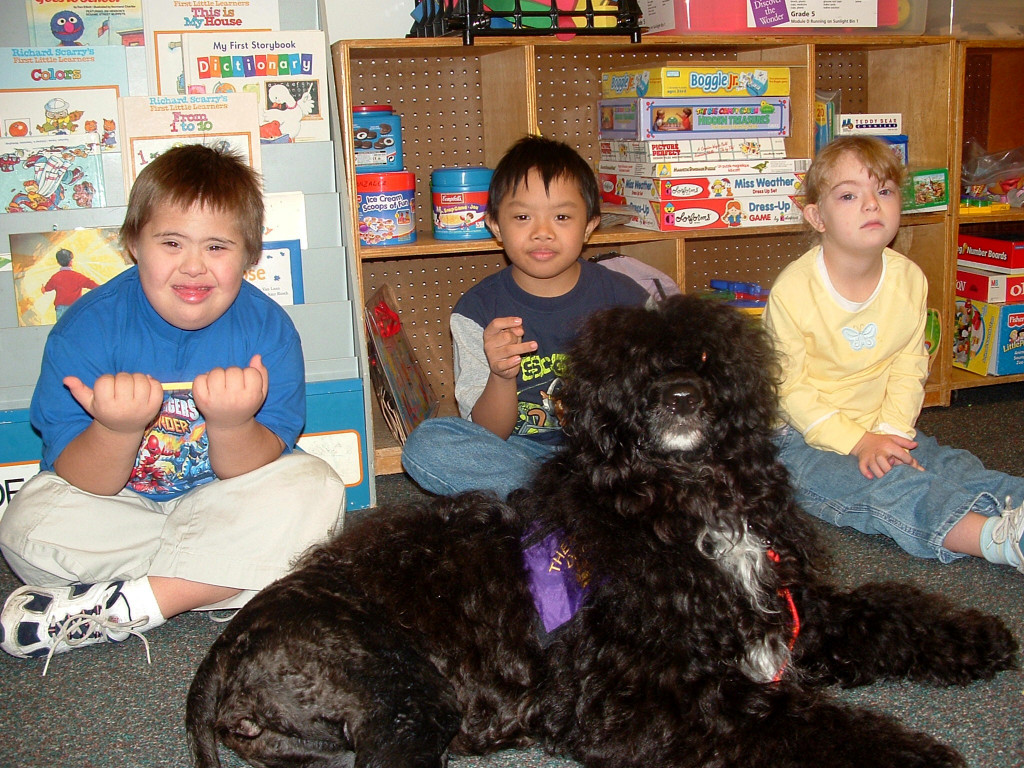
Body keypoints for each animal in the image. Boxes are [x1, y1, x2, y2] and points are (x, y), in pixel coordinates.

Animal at [184, 294, 1015, 768]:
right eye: (637, 369)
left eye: (705, 355)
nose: (680, 396)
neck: (678, 506)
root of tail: (228, 649)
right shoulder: (652, 697)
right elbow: (802, 722)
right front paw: (911, 754)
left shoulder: (783, 609)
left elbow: (885, 609)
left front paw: (973, 636)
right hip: (407, 705)